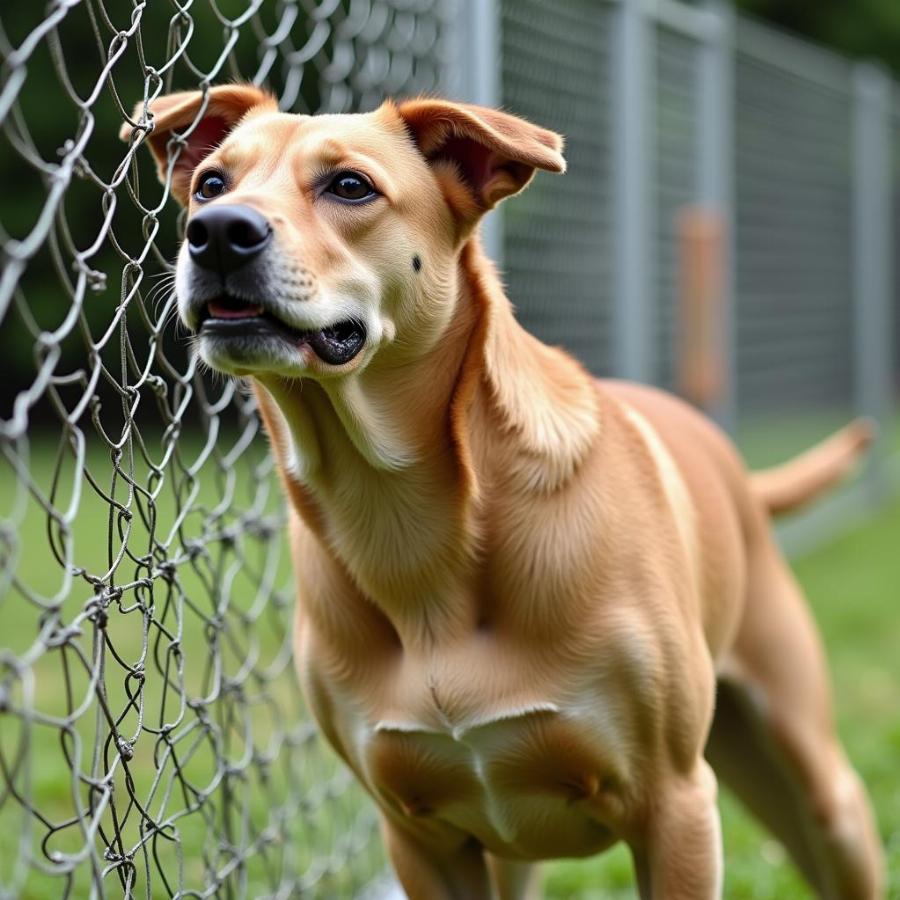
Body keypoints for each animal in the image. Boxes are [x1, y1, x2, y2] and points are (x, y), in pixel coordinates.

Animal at [123, 86, 884, 900]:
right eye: (211, 184)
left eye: (350, 186)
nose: (215, 233)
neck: (401, 512)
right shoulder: (418, 836)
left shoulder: (674, 806)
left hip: (821, 794)